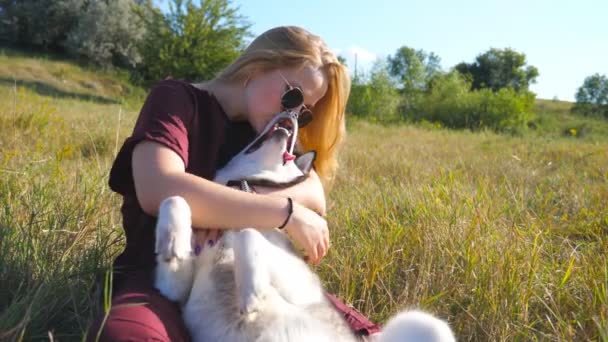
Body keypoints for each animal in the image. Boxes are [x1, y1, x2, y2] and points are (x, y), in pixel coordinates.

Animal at [154, 112, 454, 342]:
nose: (290, 119)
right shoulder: (174, 291)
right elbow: (174, 198)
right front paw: (171, 241)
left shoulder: (296, 286)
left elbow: (248, 233)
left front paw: (252, 290)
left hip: (425, 322)